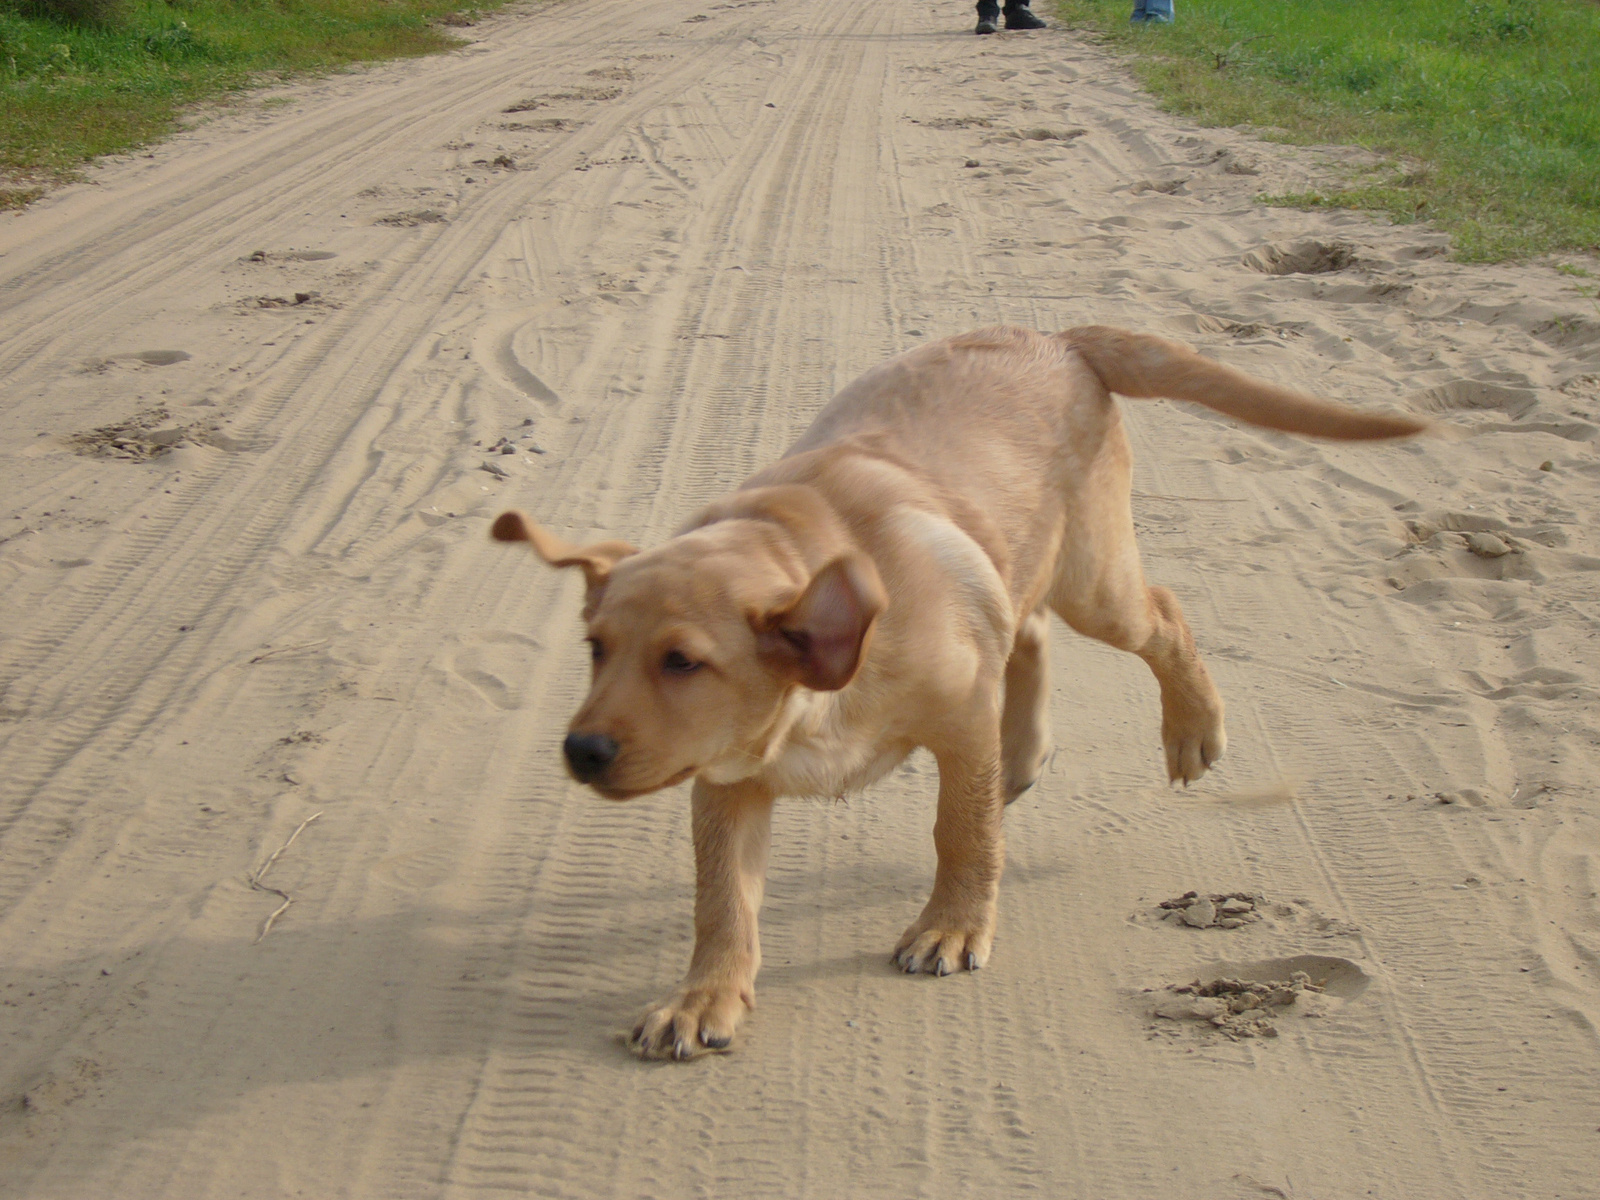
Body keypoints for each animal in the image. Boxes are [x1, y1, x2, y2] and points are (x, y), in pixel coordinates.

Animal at [489, 326, 1427, 1062]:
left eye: (682, 662)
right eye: (595, 648)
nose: (581, 751)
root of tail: (1057, 337)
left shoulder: (961, 717)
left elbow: (962, 832)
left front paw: (951, 926)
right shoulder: (728, 779)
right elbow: (721, 901)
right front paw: (702, 999)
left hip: (1096, 579)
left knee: (1158, 614)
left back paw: (1191, 729)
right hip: (1020, 565)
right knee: (1029, 629)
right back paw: (1030, 751)